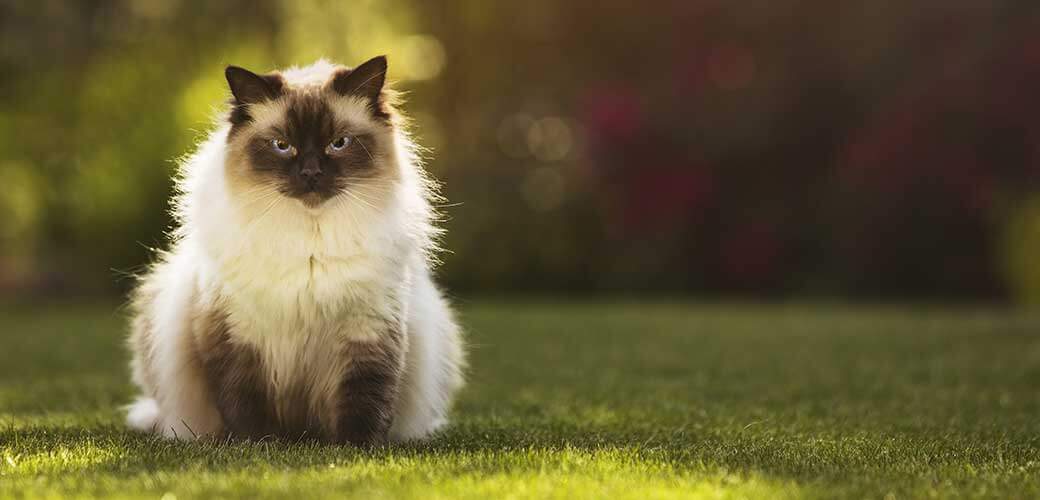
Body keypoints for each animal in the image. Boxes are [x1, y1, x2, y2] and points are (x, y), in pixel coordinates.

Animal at [124, 55, 463, 444]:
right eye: (282, 145)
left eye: (339, 143)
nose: (311, 173)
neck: (308, 241)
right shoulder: (237, 335)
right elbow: (244, 403)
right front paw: (260, 445)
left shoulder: (369, 332)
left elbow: (365, 400)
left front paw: (357, 448)